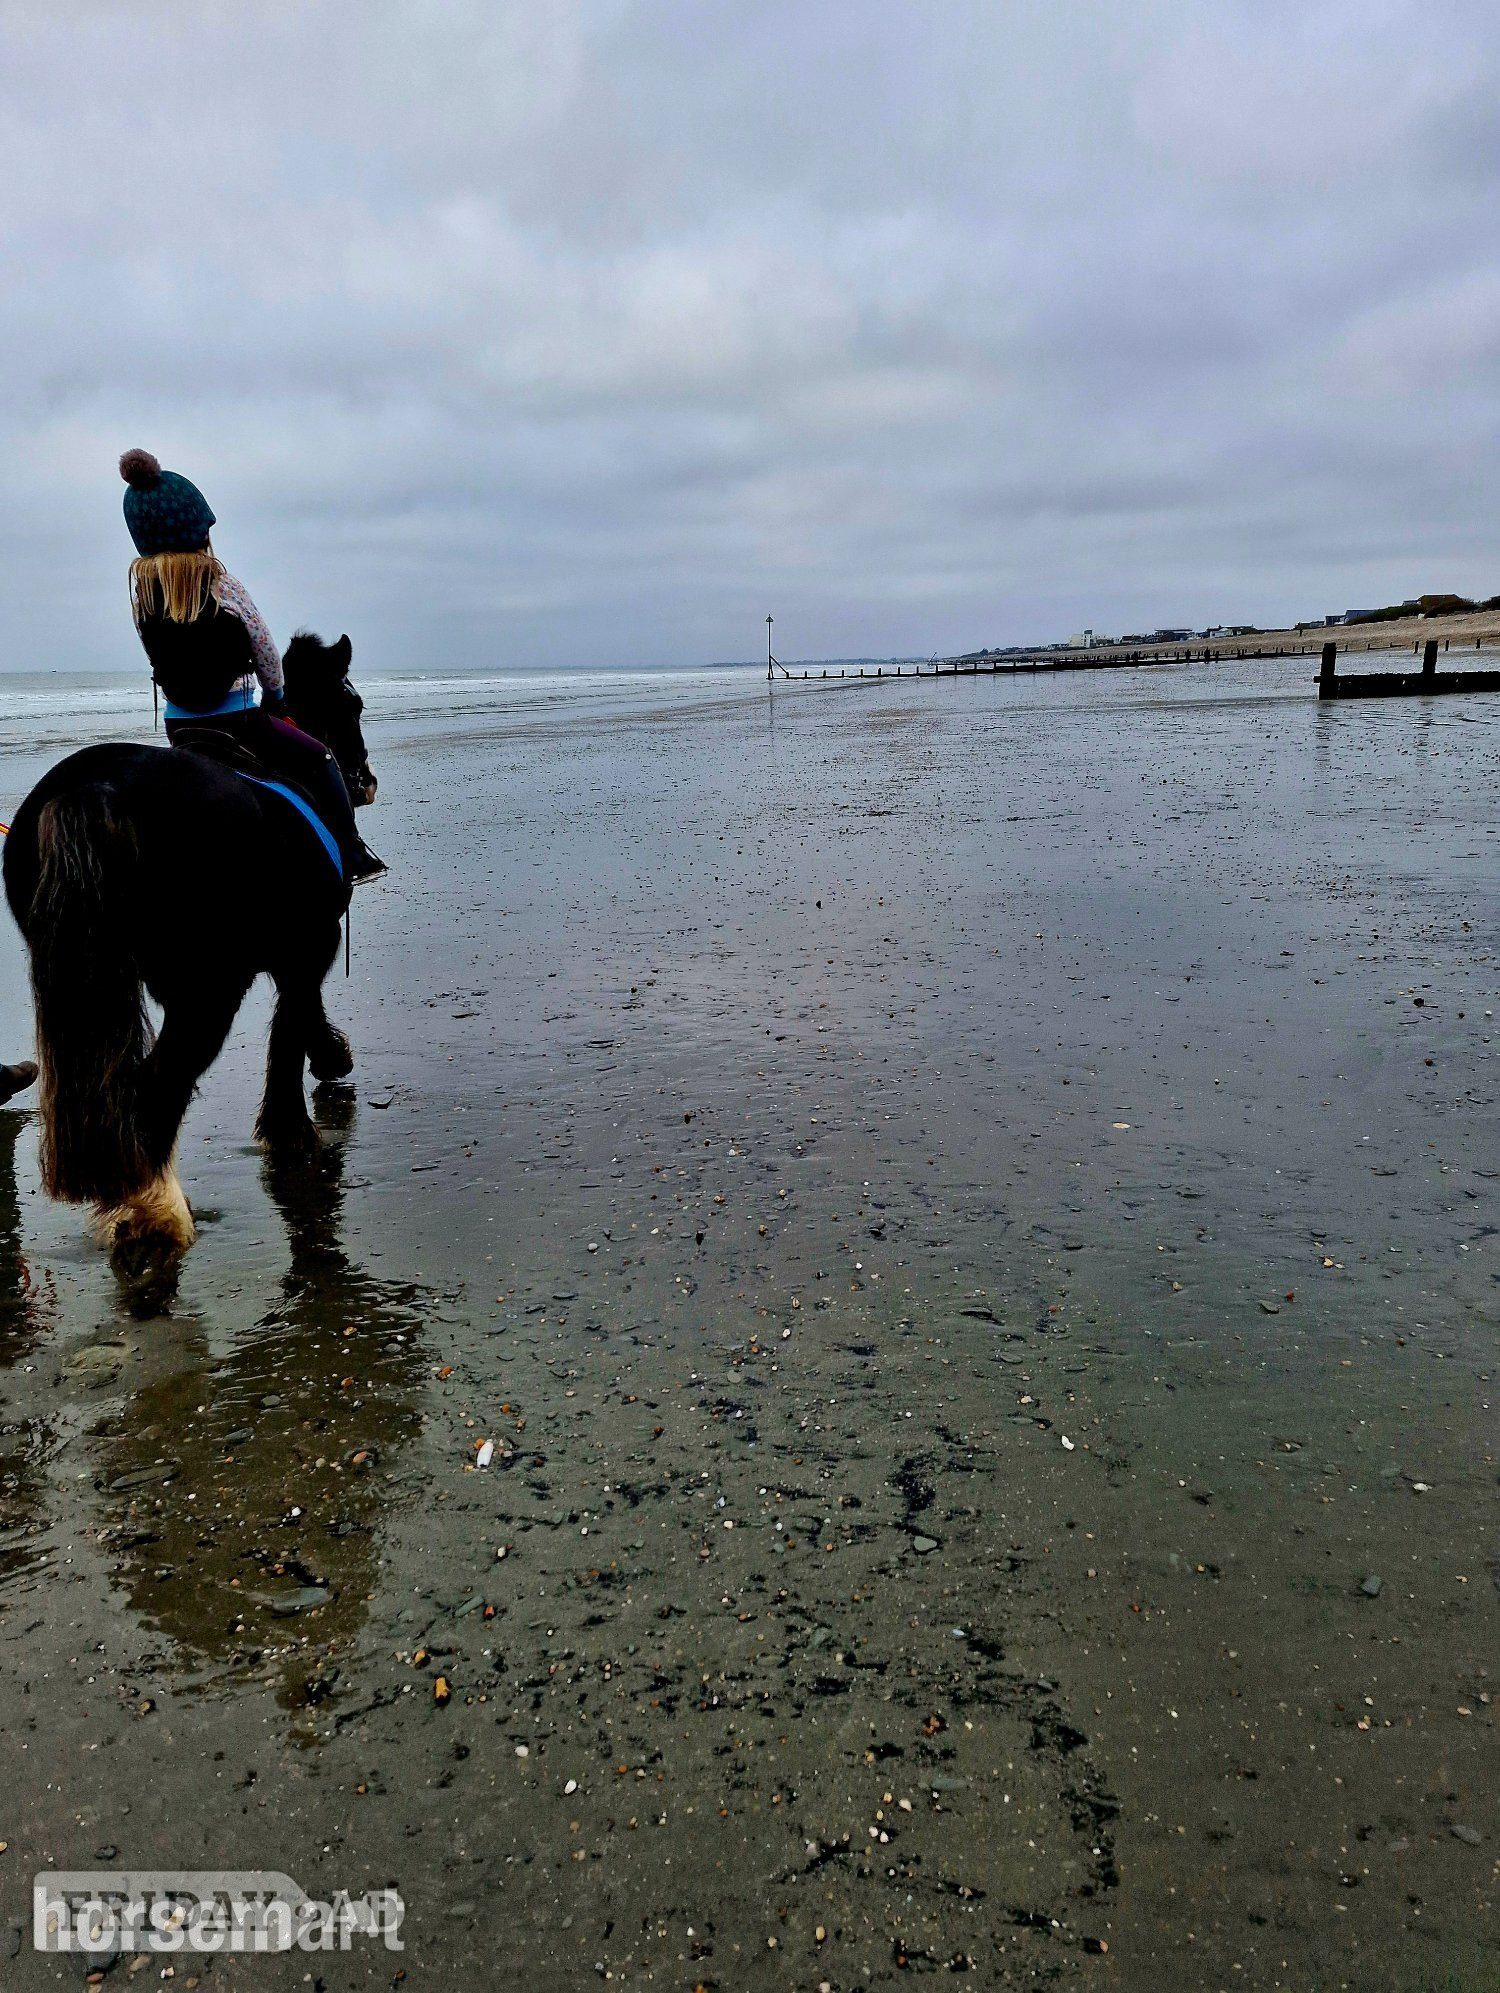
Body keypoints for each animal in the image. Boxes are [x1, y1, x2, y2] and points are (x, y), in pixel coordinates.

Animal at [1, 633, 377, 1264]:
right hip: (209, 991)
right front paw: (298, 1119)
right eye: (352, 706)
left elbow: (299, 1016)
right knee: (156, 1092)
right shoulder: (311, 943)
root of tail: (96, 788)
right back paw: (154, 1219)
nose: (365, 781)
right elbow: (295, 1020)